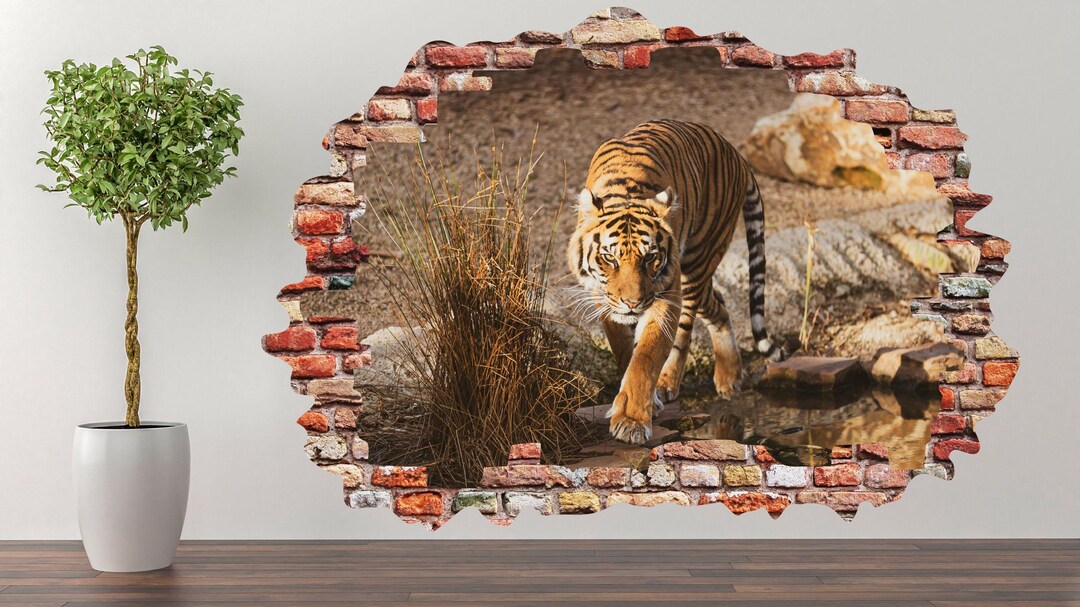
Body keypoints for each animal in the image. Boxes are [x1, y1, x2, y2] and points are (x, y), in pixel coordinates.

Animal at [567, 119, 780, 445]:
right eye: (610, 258)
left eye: (650, 258)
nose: (632, 303)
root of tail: (737, 154)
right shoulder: (602, 300)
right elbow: (624, 350)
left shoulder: (665, 295)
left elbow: (645, 358)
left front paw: (631, 420)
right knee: (719, 304)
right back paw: (729, 376)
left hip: (696, 262)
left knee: (688, 328)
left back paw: (683, 381)